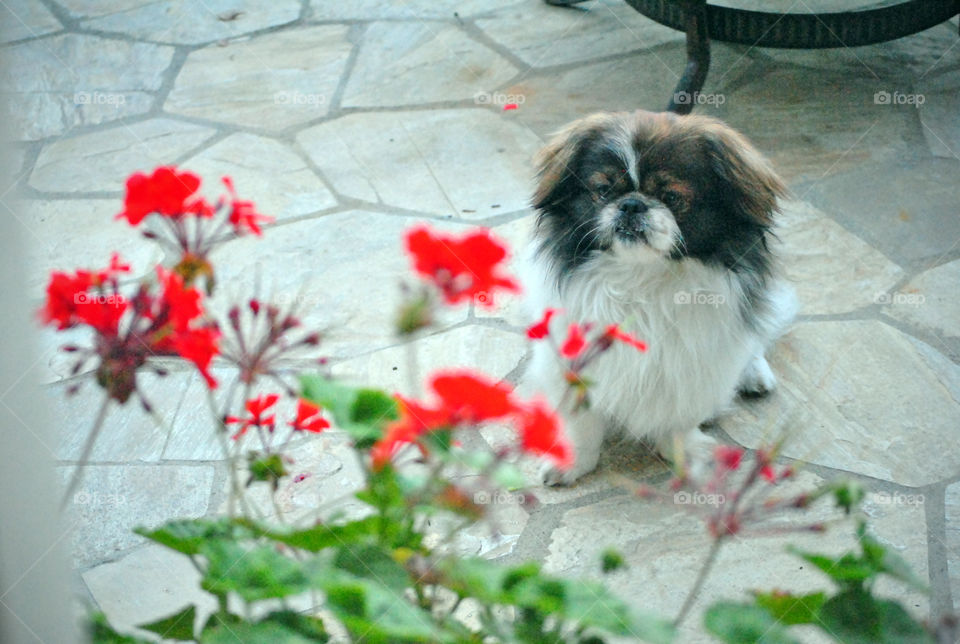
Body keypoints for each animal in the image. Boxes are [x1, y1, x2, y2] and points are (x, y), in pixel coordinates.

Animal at [520, 109, 800, 484]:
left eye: (671, 198)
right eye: (603, 190)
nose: (631, 204)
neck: (642, 277)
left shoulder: (691, 364)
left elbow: (679, 419)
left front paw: (683, 454)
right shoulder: (570, 359)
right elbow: (581, 423)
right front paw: (573, 463)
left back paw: (754, 375)